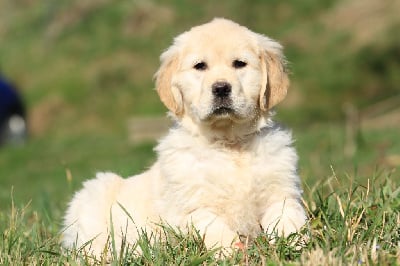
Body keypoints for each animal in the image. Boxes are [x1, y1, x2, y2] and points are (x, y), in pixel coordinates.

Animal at [61, 17, 306, 256]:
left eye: (239, 64)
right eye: (200, 66)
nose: (221, 88)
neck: (229, 142)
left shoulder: (281, 193)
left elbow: (289, 220)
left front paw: (298, 246)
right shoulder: (192, 208)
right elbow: (217, 230)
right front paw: (235, 253)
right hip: (93, 198)